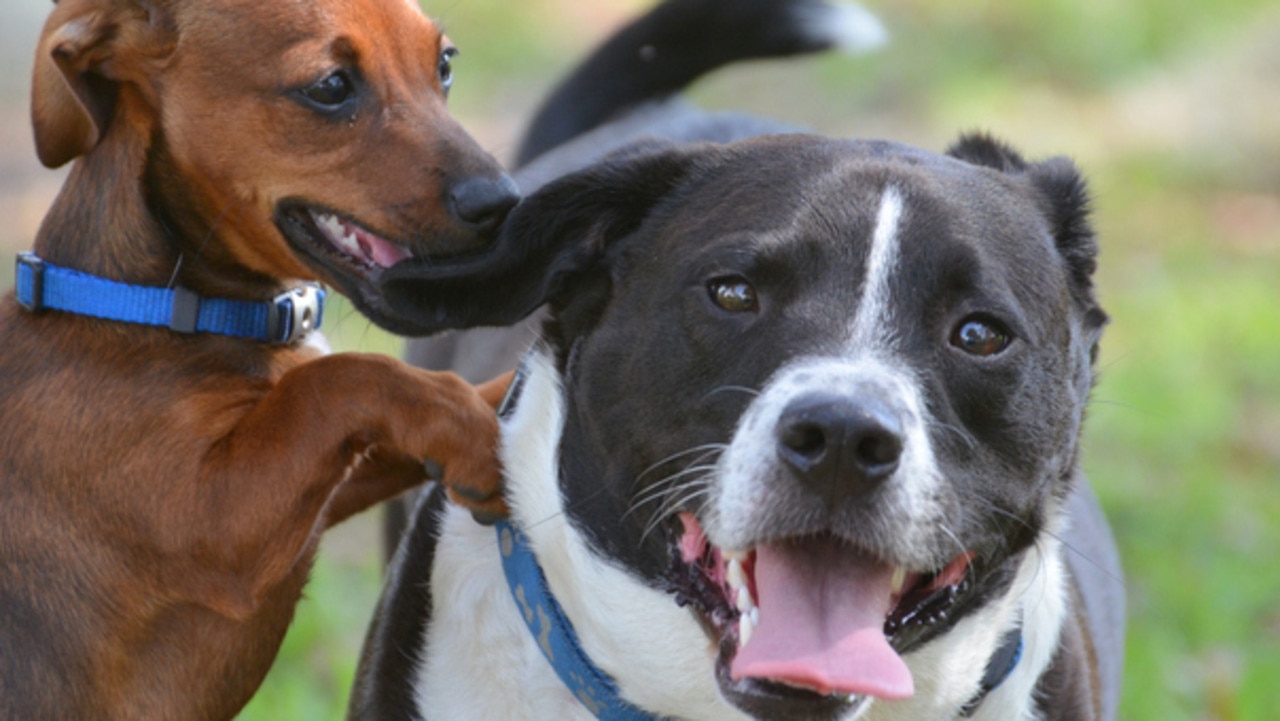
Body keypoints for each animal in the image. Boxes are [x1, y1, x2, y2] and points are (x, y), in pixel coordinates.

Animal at [1, 1, 524, 721]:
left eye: (444, 64)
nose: (505, 203)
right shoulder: (212, 521)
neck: (151, 307)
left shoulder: (323, 490)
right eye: (330, 87)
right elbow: (341, 377)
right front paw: (470, 430)